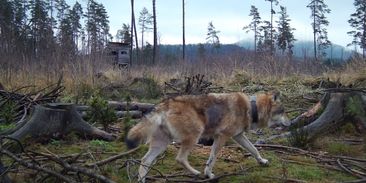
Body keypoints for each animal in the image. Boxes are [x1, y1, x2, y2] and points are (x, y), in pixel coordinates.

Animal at [126, 91, 288, 182]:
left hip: (162, 144)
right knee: (180, 158)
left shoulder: (238, 136)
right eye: (283, 111)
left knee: (145, 161)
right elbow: (212, 159)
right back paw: (196, 173)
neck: (252, 108)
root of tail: (164, 104)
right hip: (194, 136)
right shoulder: (221, 137)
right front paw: (208, 174)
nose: (291, 122)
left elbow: (254, 150)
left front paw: (262, 161)